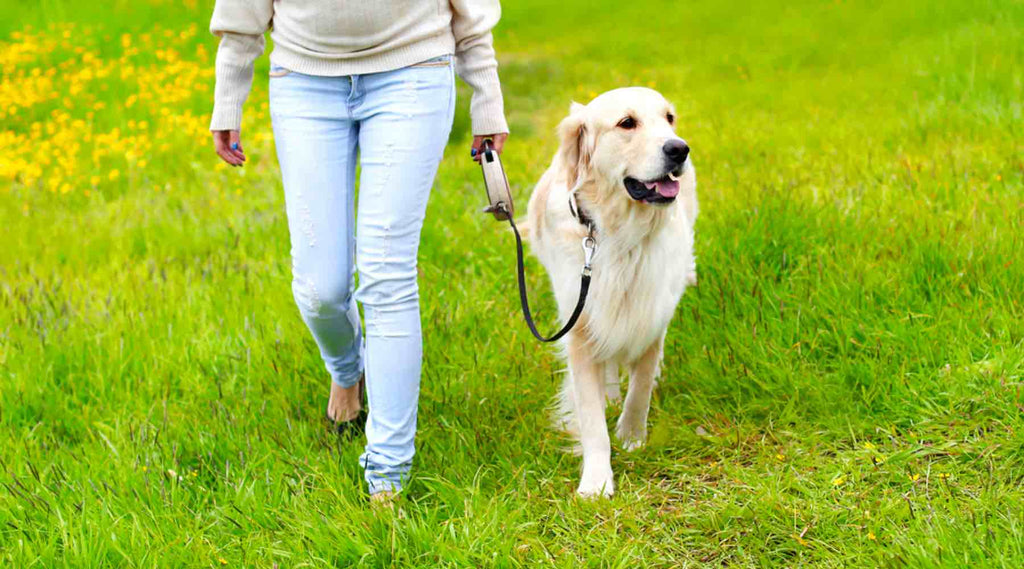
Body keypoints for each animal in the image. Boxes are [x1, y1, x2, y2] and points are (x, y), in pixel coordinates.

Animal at [520, 86, 696, 495]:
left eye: (669, 118)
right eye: (627, 123)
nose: (679, 148)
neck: (620, 236)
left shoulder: (651, 315)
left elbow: (641, 387)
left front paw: (632, 437)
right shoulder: (581, 325)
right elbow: (591, 419)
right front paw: (597, 482)